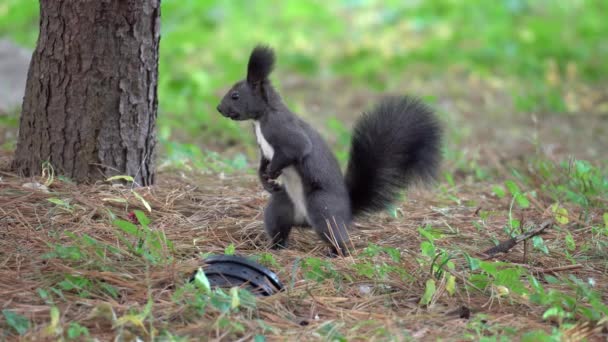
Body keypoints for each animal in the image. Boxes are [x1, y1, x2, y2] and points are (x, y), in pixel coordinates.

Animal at [218, 44, 442, 254]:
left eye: (235, 95)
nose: (219, 109)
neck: (261, 118)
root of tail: (347, 211)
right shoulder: (264, 149)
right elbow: (263, 162)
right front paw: (265, 180)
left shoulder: (283, 130)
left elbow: (296, 149)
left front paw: (273, 172)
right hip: (280, 207)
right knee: (279, 226)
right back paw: (275, 247)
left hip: (321, 207)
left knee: (335, 235)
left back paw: (337, 253)